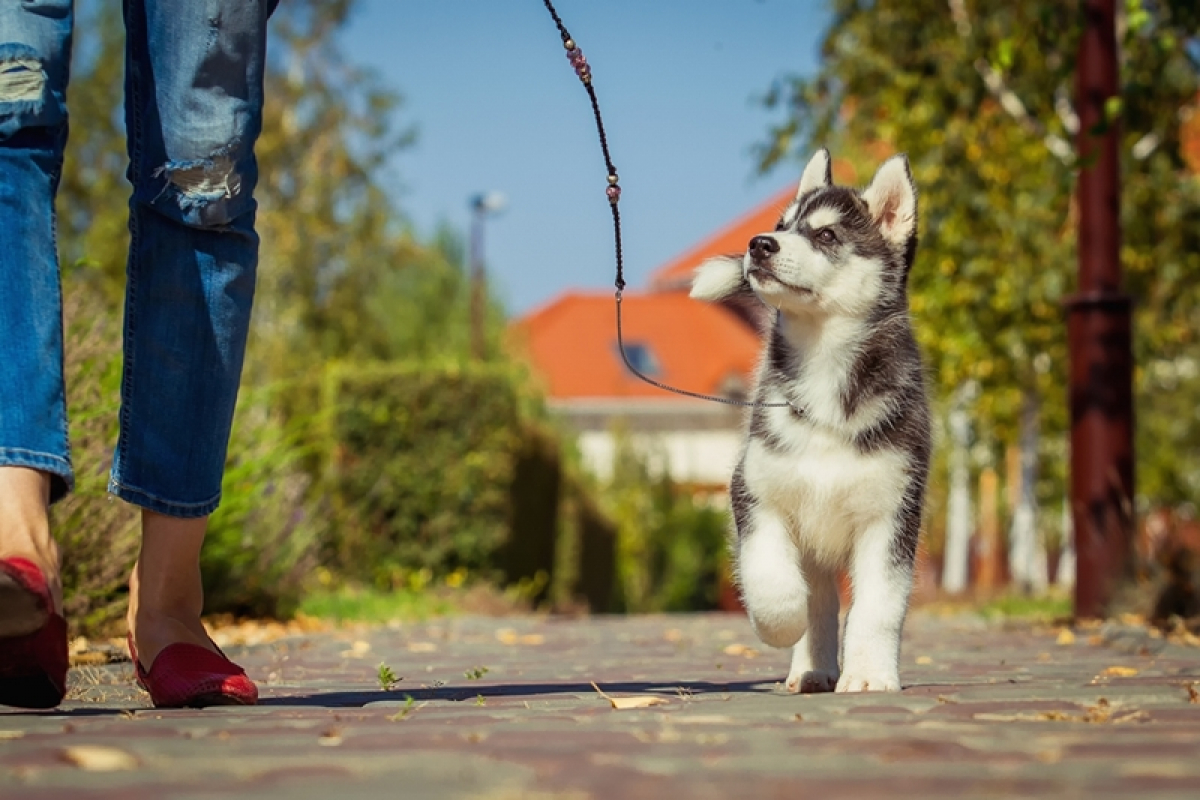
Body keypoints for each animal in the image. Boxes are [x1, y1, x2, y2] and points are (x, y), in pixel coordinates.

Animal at [691, 151, 931, 695]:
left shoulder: (892, 513)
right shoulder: (755, 490)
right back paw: (810, 668)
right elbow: (772, 580)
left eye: (825, 235)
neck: (825, 372)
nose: (759, 244)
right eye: (783, 226)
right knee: (817, 597)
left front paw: (870, 675)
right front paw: (783, 623)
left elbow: (878, 606)